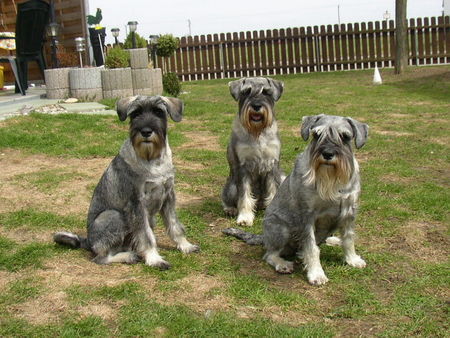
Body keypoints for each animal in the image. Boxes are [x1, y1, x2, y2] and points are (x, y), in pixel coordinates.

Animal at [54, 95, 199, 270]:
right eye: (135, 114)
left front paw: (186, 246)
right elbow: (146, 235)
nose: (146, 132)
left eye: (159, 112)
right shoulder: (137, 203)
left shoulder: (168, 196)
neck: (152, 160)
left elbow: (175, 225)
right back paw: (129, 256)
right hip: (114, 216)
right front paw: (154, 259)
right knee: (101, 258)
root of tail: (88, 241)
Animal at [221, 76, 284, 224]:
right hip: (231, 186)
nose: (256, 106)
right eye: (246, 92)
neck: (257, 132)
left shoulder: (273, 165)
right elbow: (244, 195)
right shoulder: (243, 167)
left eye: (266, 92)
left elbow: (273, 190)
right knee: (228, 198)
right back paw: (230, 209)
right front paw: (245, 217)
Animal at [224, 114, 370, 286]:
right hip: (281, 230)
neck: (330, 182)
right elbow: (311, 247)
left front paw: (352, 259)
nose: (327, 154)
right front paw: (316, 274)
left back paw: (333, 240)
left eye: (345, 136)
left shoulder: (348, 211)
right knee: (270, 254)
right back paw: (282, 264)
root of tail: (264, 237)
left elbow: (348, 238)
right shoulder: (307, 215)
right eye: (316, 135)